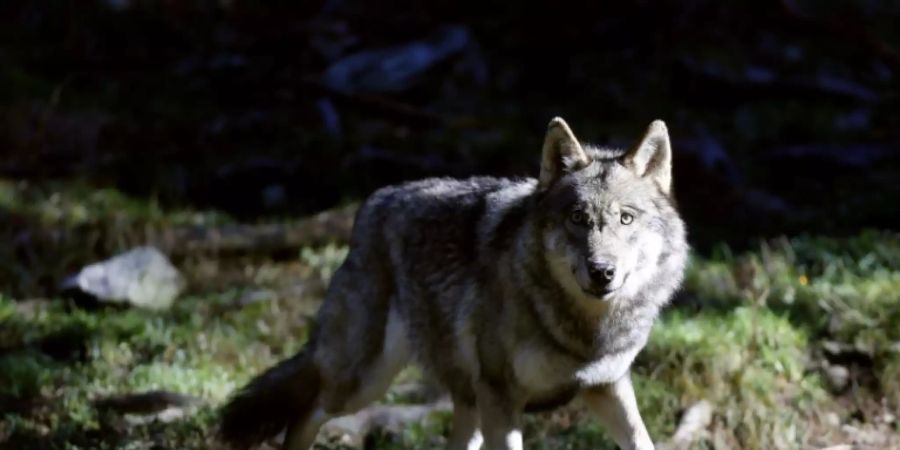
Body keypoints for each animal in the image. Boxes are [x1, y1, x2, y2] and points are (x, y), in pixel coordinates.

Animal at [218, 118, 688, 450]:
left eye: (625, 218)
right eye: (577, 218)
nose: (601, 270)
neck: (584, 334)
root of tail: (372, 204)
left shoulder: (608, 386)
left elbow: (644, 442)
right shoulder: (501, 398)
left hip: (463, 404)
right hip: (360, 383)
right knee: (303, 413)